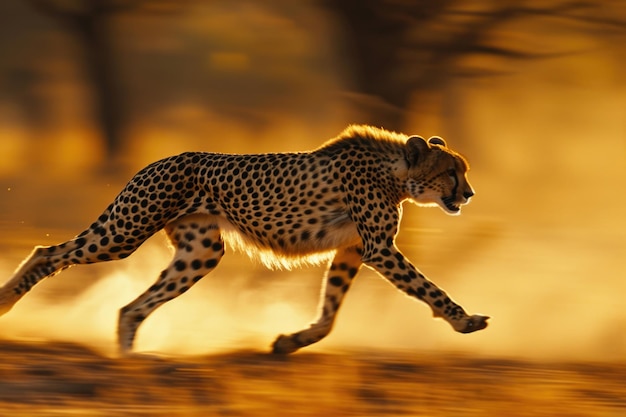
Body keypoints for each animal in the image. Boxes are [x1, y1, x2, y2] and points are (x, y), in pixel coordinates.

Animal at [0, 125, 488, 352]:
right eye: (451, 171)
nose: (469, 194)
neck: (397, 171)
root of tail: (159, 159)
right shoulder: (379, 250)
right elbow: (430, 289)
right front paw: (464, 320)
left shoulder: (352, 249)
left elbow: (330, 312)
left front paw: (291, 342)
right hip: (124, 231)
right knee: (48, 252)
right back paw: (6, 301)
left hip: (201, 252)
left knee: (131, 308)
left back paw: (129, 363)